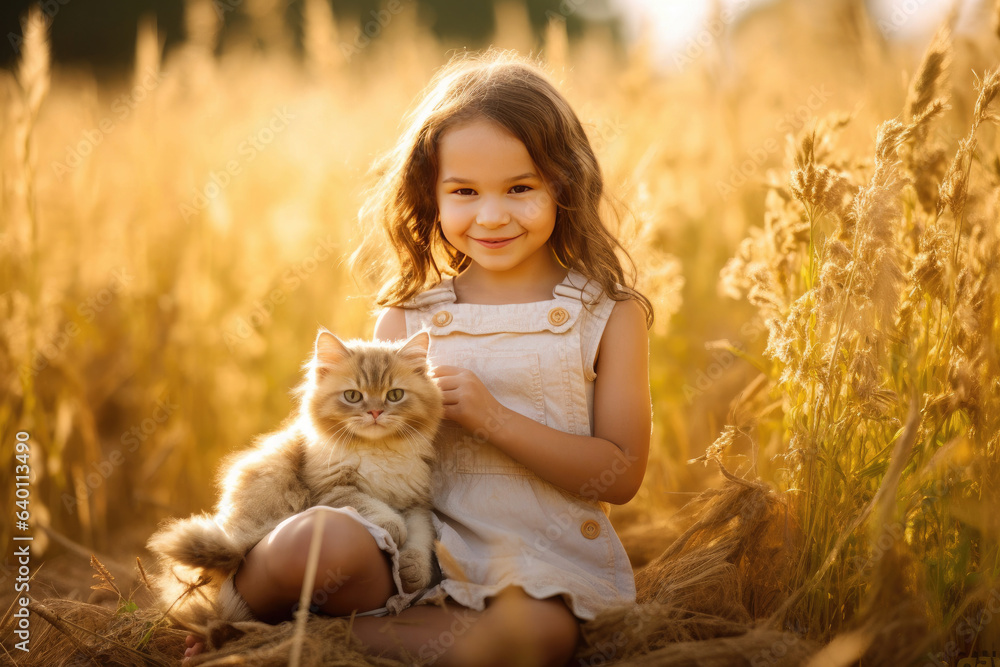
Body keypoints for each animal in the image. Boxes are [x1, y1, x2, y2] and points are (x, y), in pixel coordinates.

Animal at [146, 332, 442, 628]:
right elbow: (374, 506)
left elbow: (420, 538)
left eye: (394, 395)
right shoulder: (332, 490)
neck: (376, 450)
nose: (376, 413)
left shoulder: (416, 502)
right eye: (352, 396)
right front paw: (392, 528)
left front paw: (413, 571)